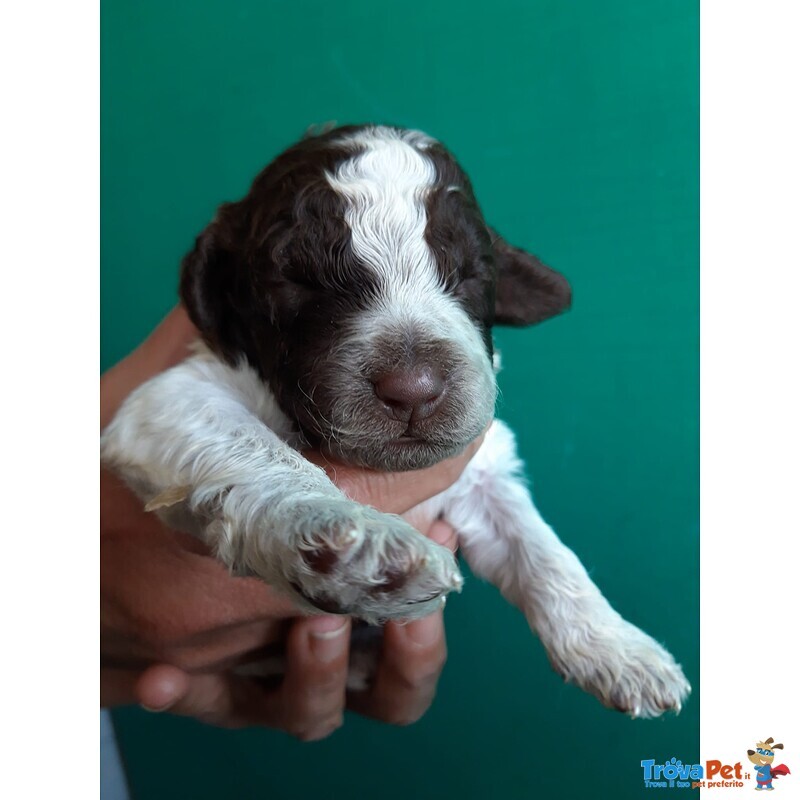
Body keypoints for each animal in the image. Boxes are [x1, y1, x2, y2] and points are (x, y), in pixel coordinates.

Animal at [100, 125, 692, 720]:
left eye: (469, 273)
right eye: (297, 279)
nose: (414, 390)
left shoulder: (484, 469)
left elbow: (541, 547)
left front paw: (618, 647)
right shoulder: (173, 394)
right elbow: (257, 450)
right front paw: (356, 545)